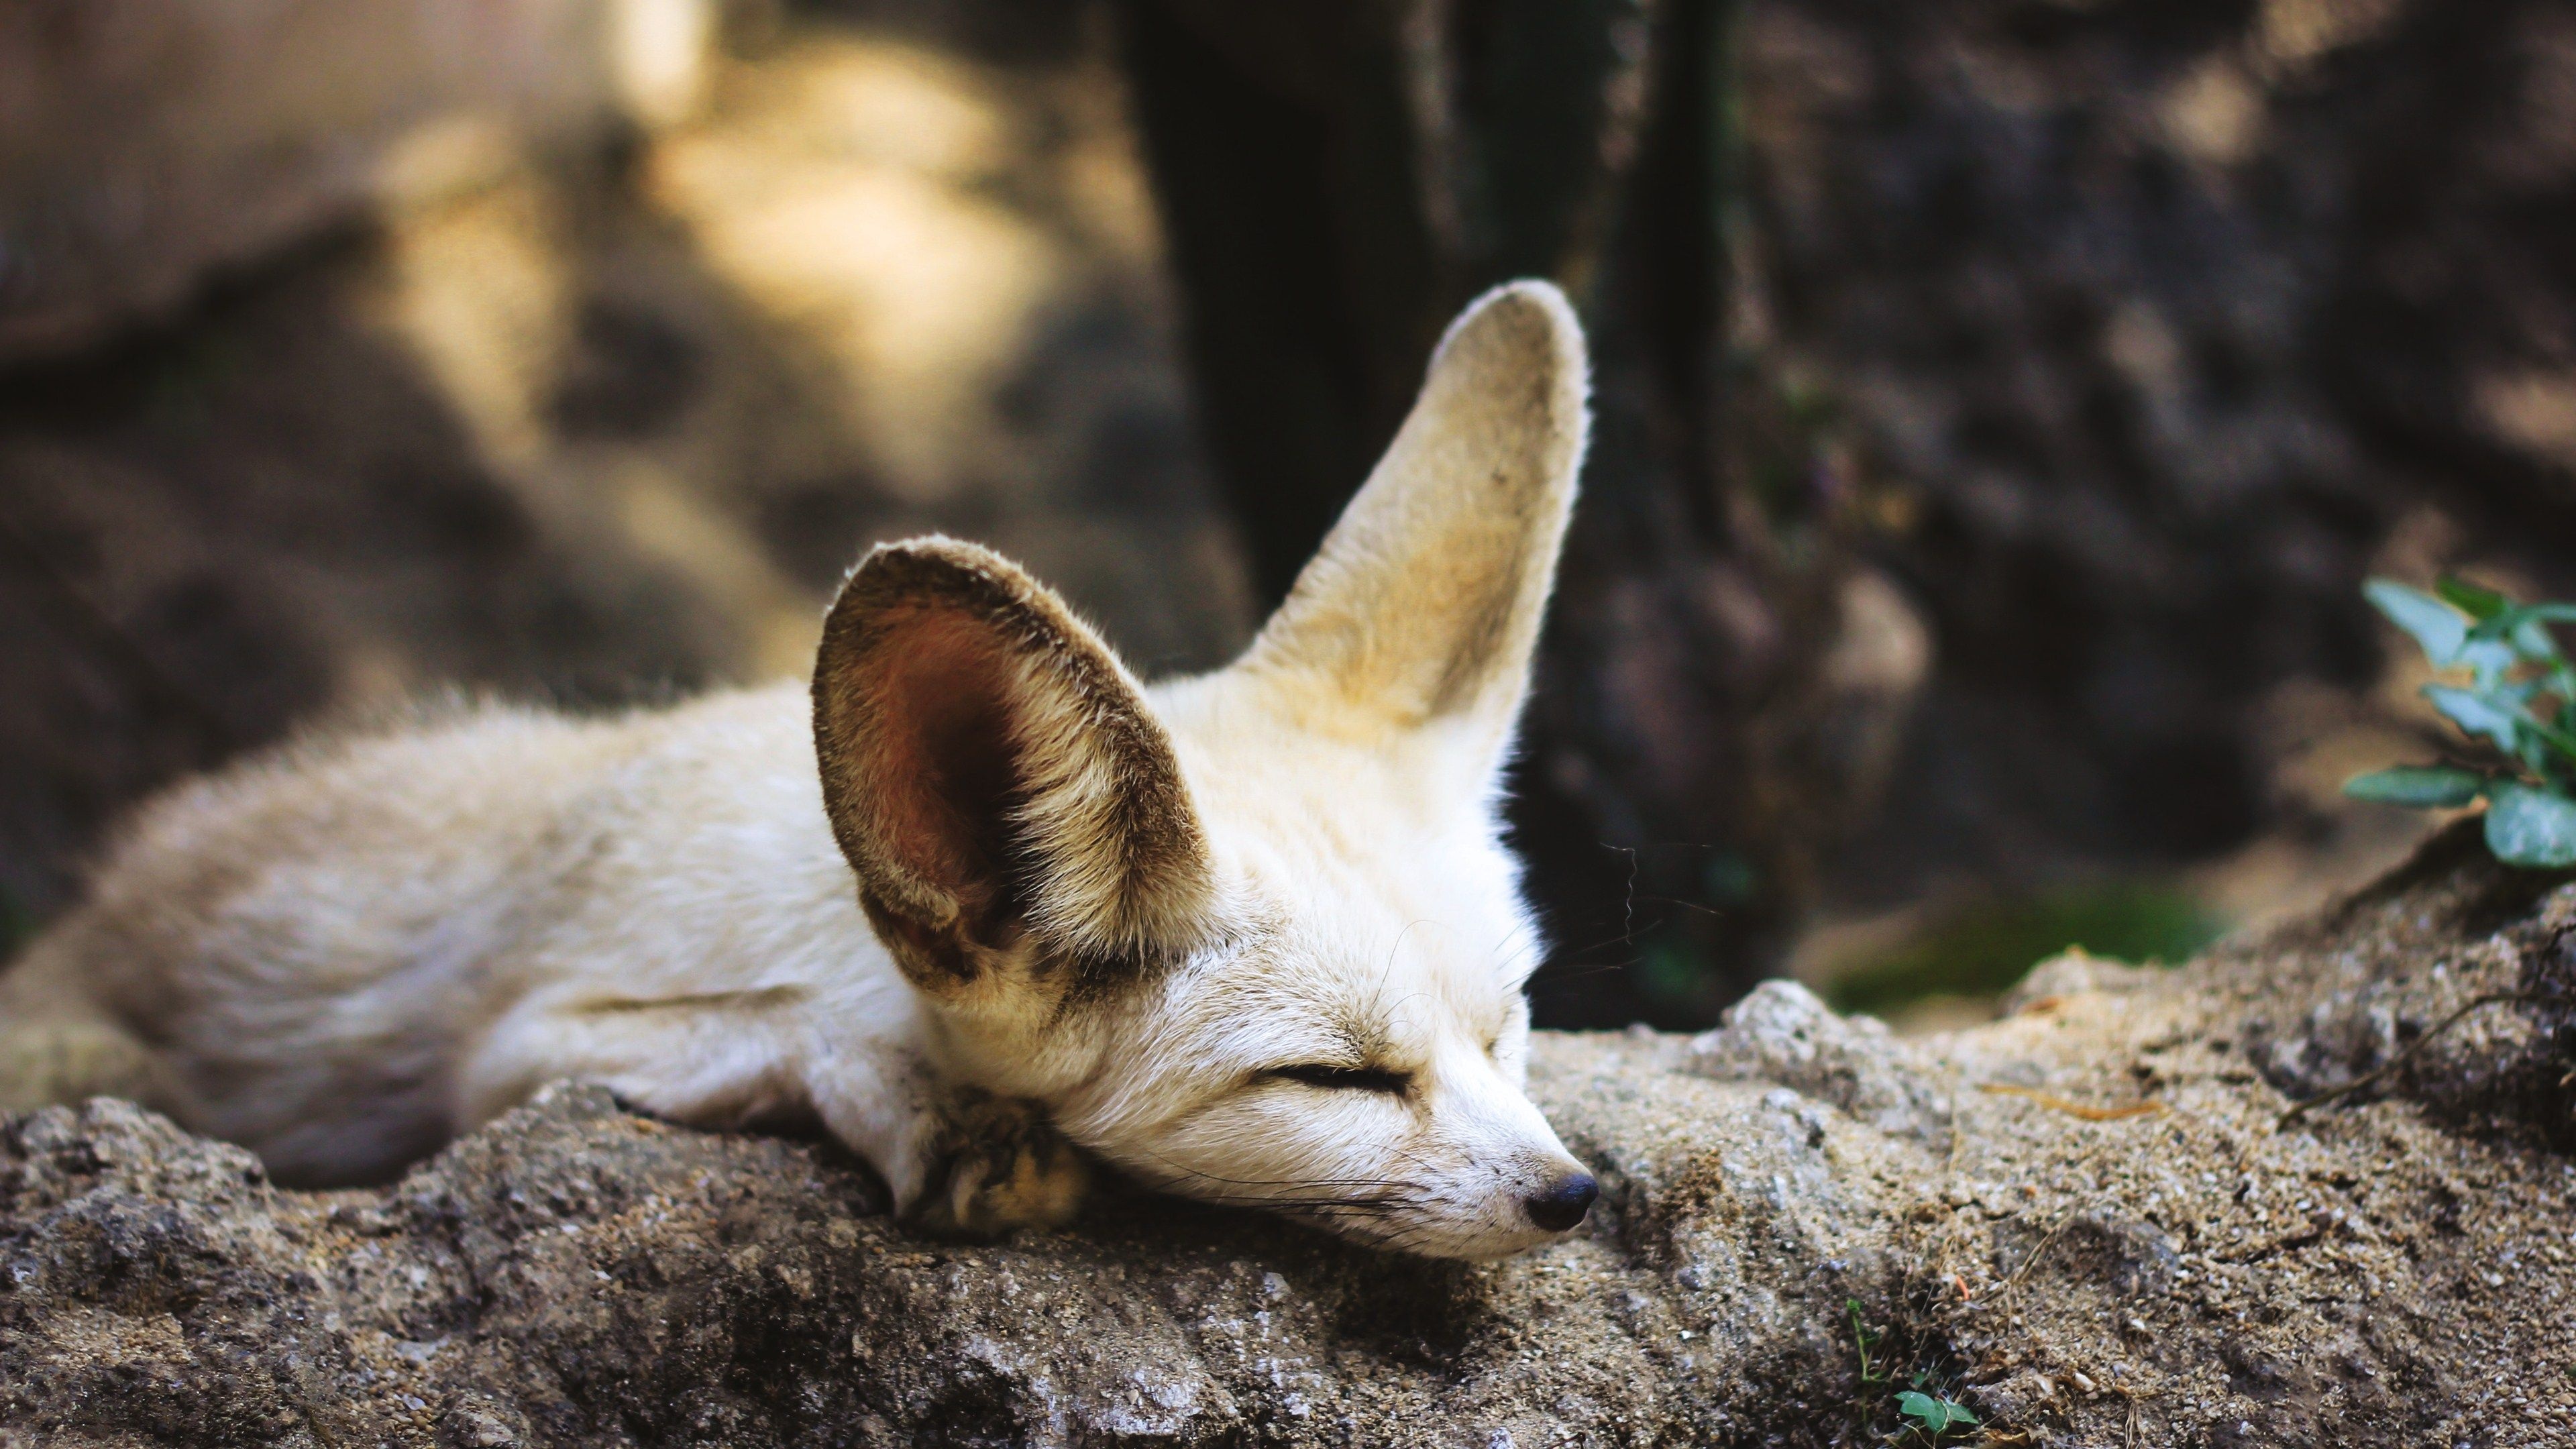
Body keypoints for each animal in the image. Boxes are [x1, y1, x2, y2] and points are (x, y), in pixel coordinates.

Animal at [0, 280, 1597, 1252]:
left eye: (1512, 1023)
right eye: (1335, 1080)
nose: (1576, 1196)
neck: (821, 880)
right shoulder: (515, 1047)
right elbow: (778, 1023)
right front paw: (934, 1114)